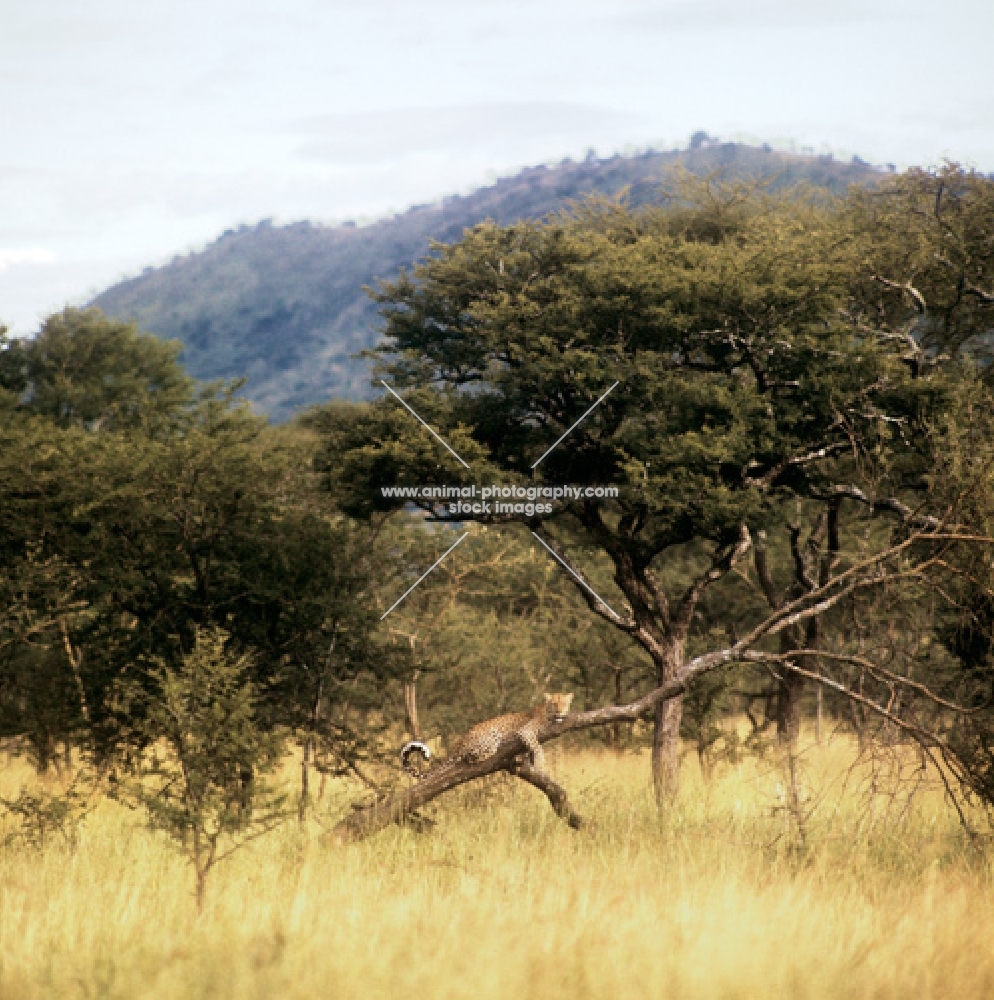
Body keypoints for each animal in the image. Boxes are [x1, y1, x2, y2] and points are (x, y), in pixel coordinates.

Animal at [402, 696, 572, 780]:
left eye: (564, 703)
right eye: (554, 703)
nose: (560, 711)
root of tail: (461, 740)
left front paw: (529, 760)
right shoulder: (525, 731)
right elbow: (537, 746)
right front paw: (540, 763)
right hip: (492, 737)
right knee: (471, 757)